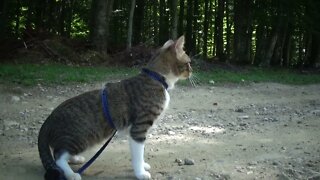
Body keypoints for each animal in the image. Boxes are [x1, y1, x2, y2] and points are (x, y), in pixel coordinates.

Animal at [38, 35, 192, 180]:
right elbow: (138, 152)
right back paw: (71, 174)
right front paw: (140, 173)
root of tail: (49, 119)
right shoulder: (139, 127)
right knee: (58, 156)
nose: (192, 71)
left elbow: (139, 152)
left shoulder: (134, 130)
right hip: (81, 137)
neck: (156, 78)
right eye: (189, 62)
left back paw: (74, 158)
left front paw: (143, 166)